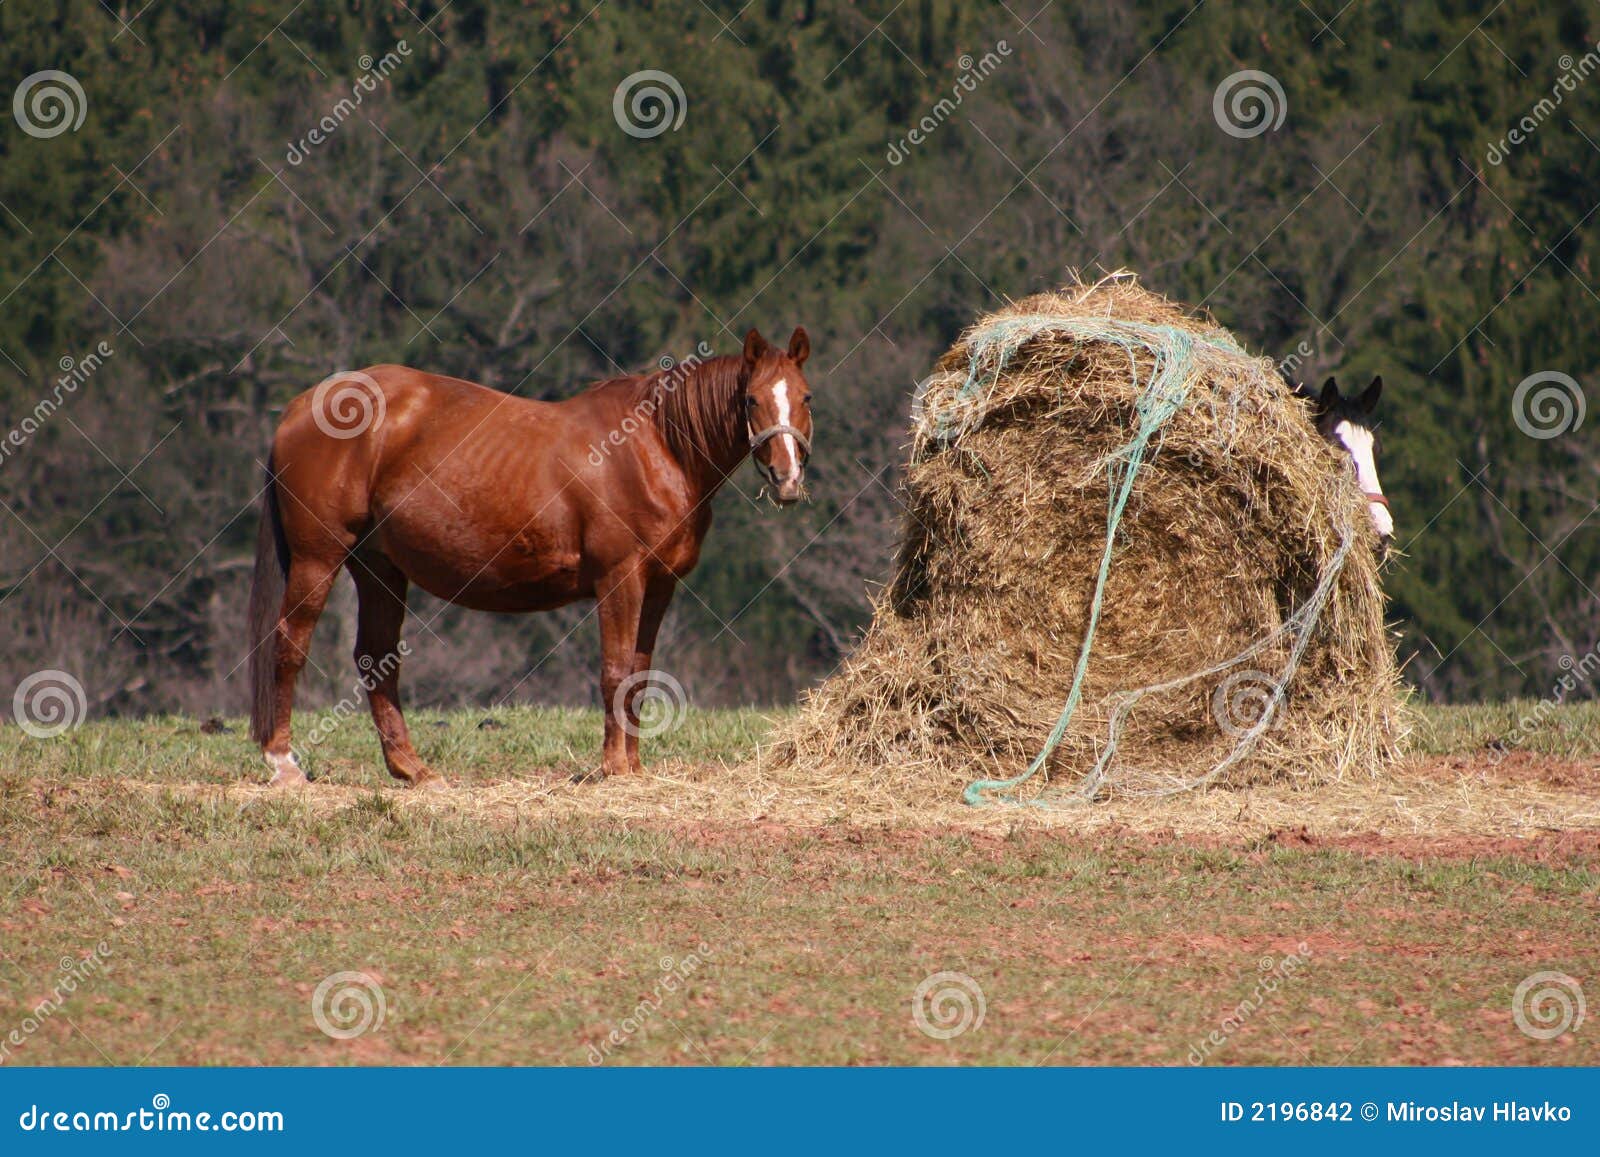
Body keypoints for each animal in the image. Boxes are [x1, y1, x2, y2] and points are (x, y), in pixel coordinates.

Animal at [246, 326, 815, 789]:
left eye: (805, 396)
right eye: (751, 400)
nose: (787, 478)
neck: (654, 448)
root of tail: (300, 409)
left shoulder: (659, 584)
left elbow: (639, 671)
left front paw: (633, 767)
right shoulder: (620, 578)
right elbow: (614, 670)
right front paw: (613, 767)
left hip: (379, 570)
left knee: (376, 658)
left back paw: (413, 769)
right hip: (318, 559)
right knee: (290, 645)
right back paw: (283, 763)